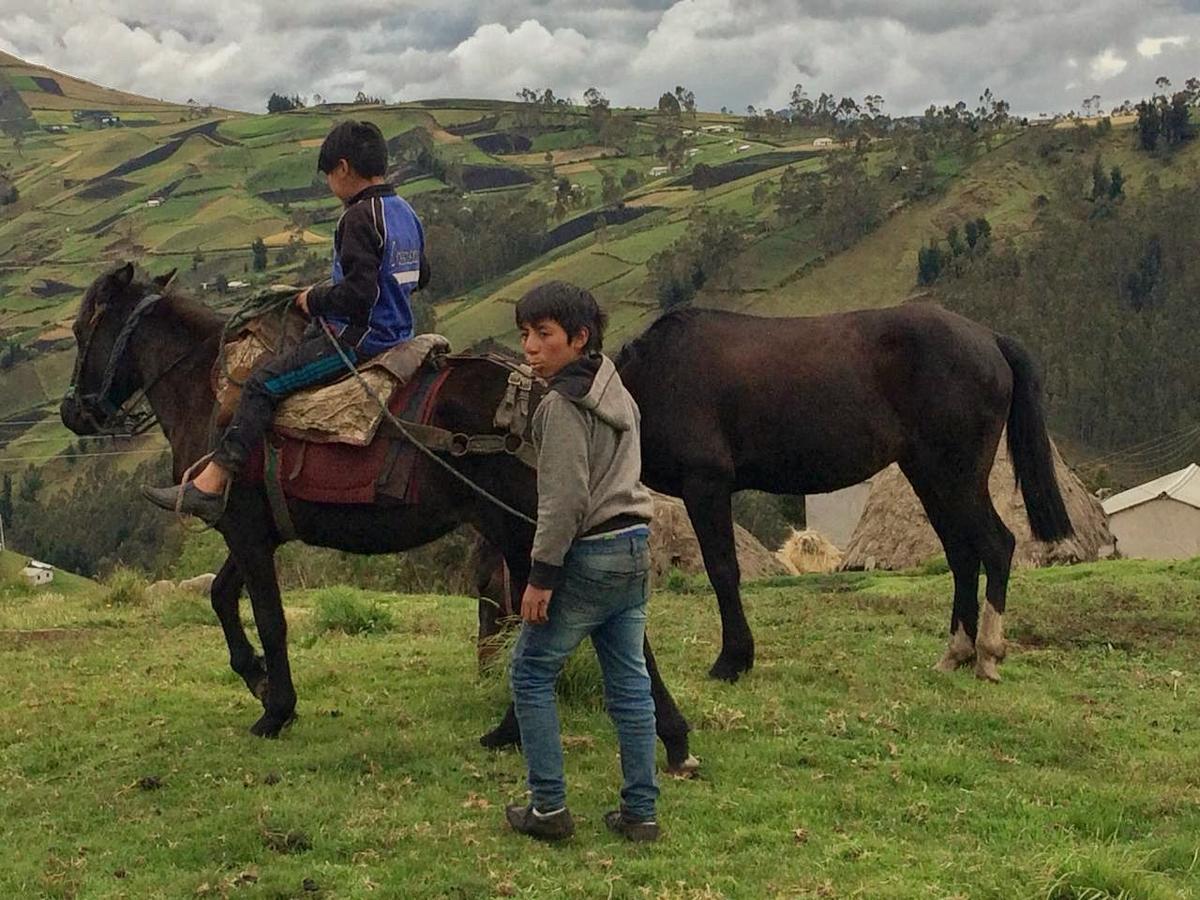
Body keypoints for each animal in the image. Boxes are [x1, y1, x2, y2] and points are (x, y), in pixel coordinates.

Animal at [58, 264, 696, 772]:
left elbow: (269, 617)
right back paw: (649, 735)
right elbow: (220, 596)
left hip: (523, 529)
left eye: (83, 329)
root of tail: (542, 393)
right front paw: (257, 678)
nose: (72, 412)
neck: (208, 390)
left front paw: (276, 709)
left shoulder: (243, 527)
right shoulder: (258, 533)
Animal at [614, 304, 1075, 681]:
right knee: (962, 556)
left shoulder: (705, 485)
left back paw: (987, 653)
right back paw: (956, 652)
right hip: (930, 478)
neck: (657, 377)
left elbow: (723, 570)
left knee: (996, 546)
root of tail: (990, 339)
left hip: (957, 478)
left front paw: (733, 660)